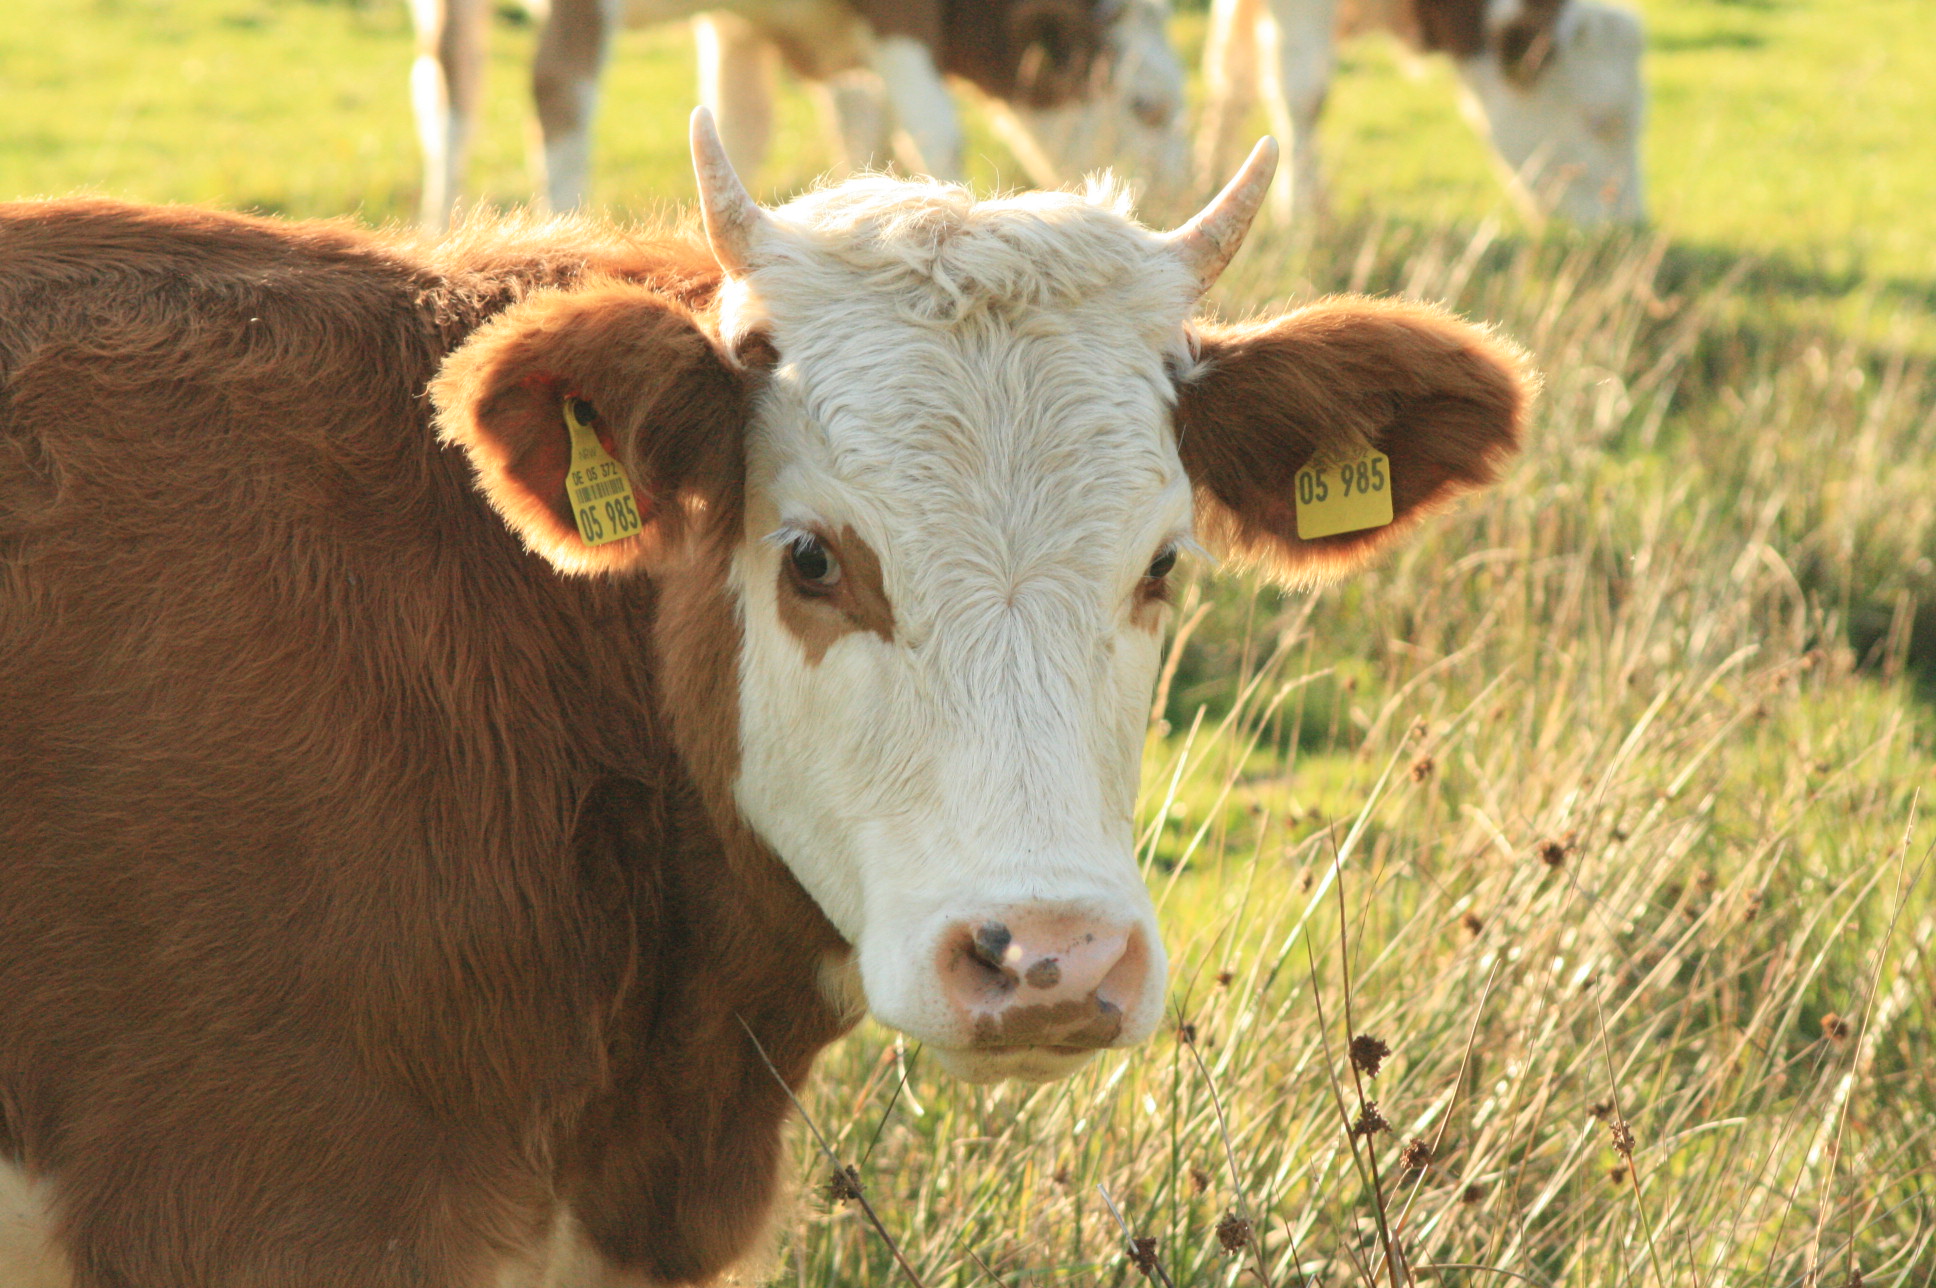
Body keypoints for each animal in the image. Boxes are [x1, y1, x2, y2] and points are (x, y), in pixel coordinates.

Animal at [416, 0, 1184, 227]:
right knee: (559, 93)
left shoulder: (739, 30)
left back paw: (442, 230)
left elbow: (739, 135)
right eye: (1146, 108)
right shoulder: (901, 19)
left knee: (449, 92)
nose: (1164, 206)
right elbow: (936, 133)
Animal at [1200, 0, 1641, 224]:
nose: (1629, 228)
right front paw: (1301, 217)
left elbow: (1231, 73)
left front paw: (1213, 182)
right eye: (1599, 121)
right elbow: (1303, 92)